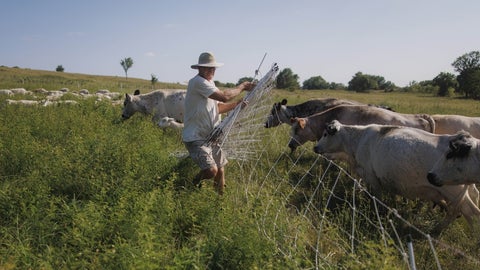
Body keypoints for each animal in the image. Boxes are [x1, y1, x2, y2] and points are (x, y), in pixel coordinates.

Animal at [314, 120, 480, 232]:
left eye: (325, 134)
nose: (315, 147)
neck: (358, 139)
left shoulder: (372, 177)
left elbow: (377, 198)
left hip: (453, 191)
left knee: (467, 212)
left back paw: (440, 230)